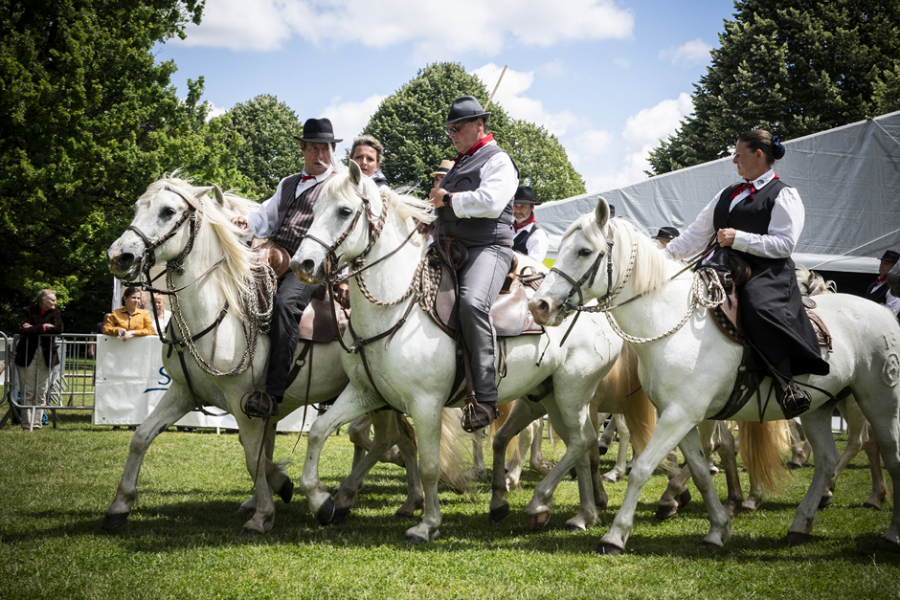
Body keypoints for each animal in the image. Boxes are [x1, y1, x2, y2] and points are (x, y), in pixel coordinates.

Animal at [103, 177, 424, 536]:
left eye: (168, 211)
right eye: (137, 206)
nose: (120, 256)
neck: (220, 311)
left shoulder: (246, 404)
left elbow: (253, 456)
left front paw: (264, 513)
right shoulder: (183, 392)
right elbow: (141, 437)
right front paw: (119, 506)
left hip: (378, 395)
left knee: (387, 440)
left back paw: (352, 497)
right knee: (402, 439)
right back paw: (407, 500)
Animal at [292, 162, 624, 540]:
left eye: (344, 211)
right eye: (314, 210)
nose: (302, 264)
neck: (396, 309)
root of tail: (593, 305)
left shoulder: (425, 404)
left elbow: (429, 465)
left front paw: (427, 524)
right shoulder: (365, 393)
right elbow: (318, 432)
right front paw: (321, 500)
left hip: (573, 390)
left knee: (582, 441)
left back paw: (541, 503)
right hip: (551, 395)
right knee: (579, 444)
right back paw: (582, 512)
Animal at [528, 199, 900, 556]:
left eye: (583, 251)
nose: (539, 306)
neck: (669, 324)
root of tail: (885, 314)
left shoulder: (679, 415)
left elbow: (644, 468)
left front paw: (615, 536)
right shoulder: (682, 416)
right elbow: (701, 472)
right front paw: (717, 529)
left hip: (879, 402)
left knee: (889, 454)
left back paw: (890, 532)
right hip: (817, 408)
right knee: (826, 461)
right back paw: (801, 524)